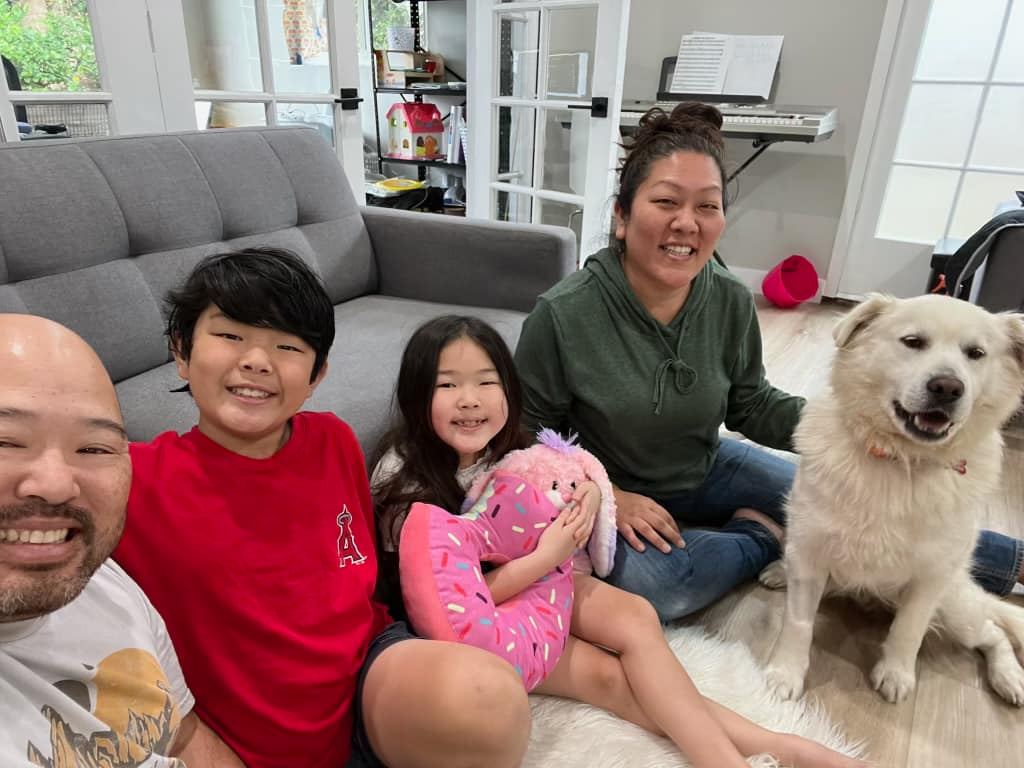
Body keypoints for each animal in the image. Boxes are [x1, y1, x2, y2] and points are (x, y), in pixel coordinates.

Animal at [765, 294, 1024, 708]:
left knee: (993, 633)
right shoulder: (810, 553)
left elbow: (909, 629)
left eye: (976, 353)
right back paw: (778, 570)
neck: (900, 460)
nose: (947, 387)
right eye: (913, 341)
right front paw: (785, 674)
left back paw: (1009, 678)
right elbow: (798, 622)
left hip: (955, 609)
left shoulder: (930, 579)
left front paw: (896, 673)